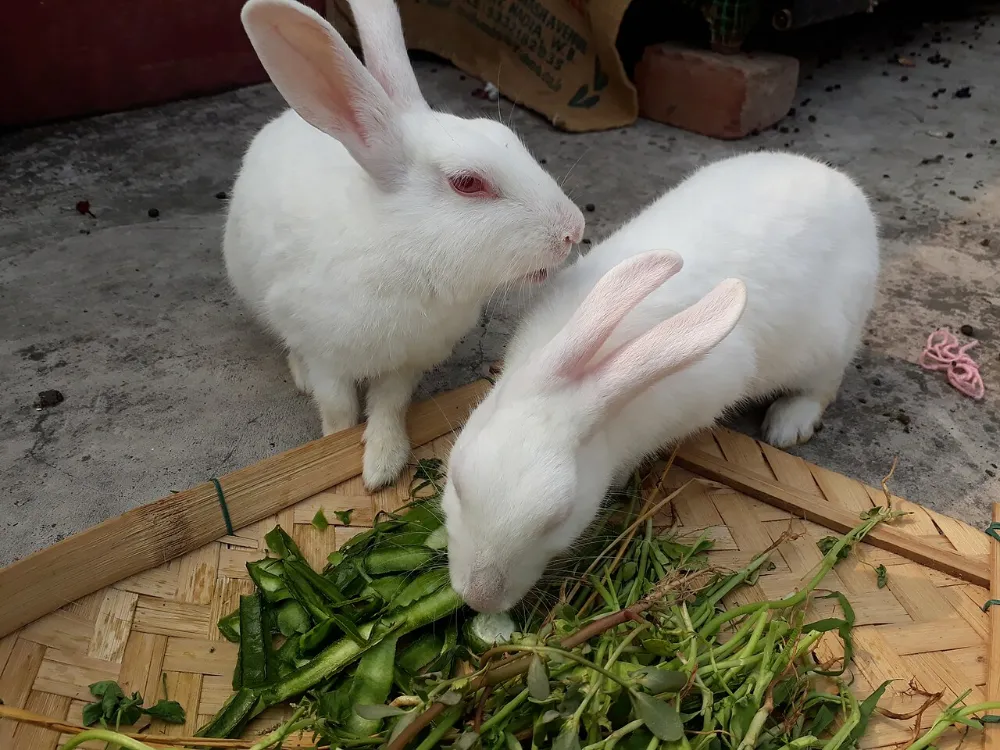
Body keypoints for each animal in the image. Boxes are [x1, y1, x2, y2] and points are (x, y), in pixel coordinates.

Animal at [224, 0, 586, 490]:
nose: (574, 229)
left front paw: (382, 463)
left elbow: (390, 406)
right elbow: (336, 405)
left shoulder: (408, 362)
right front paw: (334, 447)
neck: (402, 252)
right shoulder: (325, 355)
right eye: (467, 183)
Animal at [441, 150, 881, 613]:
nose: (479, 598)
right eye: (457, 483)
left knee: (823, 386)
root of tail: (844, 187)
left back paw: (786, 427)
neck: (589, 377)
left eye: (558, 521)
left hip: (830, 346)